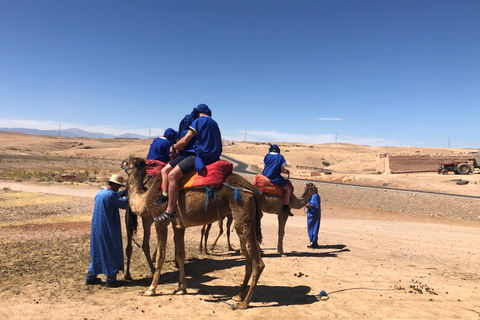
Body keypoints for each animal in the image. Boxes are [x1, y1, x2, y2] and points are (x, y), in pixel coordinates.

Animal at [121, 158, 262, 310]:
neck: (145, 197)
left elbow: (161, 255)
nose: (122, 164)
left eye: (127, 162)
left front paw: (150, 290)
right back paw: (239, 295)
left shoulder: (160, 220)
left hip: (242, 211)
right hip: (244, 220)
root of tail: (252, 190)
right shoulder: (178, 226)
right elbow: (180, 255)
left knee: (258, 263)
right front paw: (181, 289)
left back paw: (244, 303)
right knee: (248, 260)